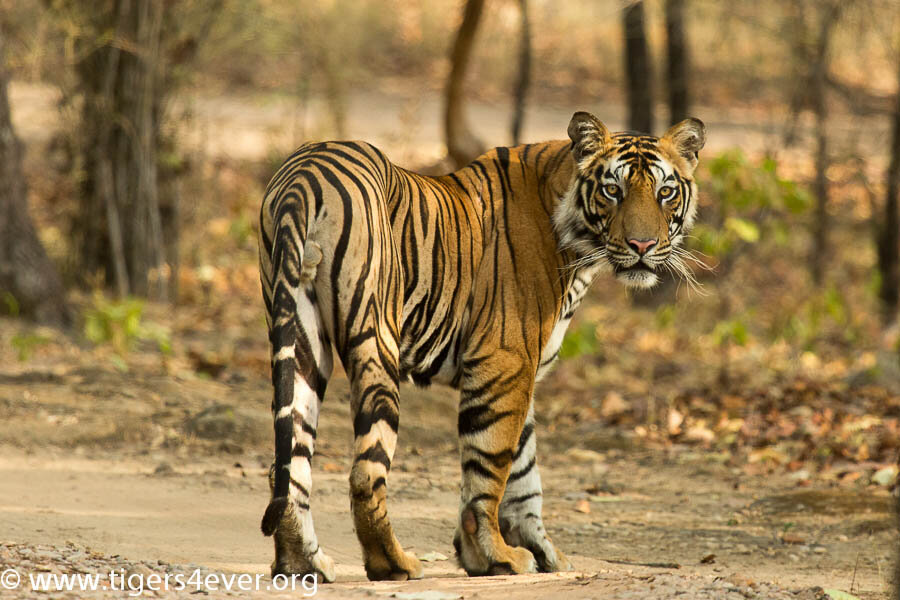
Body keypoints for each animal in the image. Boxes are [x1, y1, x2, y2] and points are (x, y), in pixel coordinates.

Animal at [256, 111, 708, 580]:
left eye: (665, 192)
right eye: (612, 190)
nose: (643, 246)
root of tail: (303, 177)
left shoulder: (523, 373)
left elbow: (525, 471)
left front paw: (539, 550)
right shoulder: (504, 362)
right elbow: (491, 469)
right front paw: (494, 556)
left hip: (302, 336)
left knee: (288, 465)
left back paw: (302, 563)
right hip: (375, 339)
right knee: (365, 471)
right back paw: (393, 563)